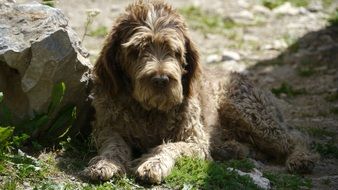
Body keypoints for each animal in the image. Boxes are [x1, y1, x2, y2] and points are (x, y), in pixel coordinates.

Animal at [83, 0, 318, 184]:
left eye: (174, 51)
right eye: (136, 50)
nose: (161, 80)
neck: (149, 110)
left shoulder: (195, 141)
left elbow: (169, 147)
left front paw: (153, 164)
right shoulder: (106, 129)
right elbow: (113, 145)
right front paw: (105, 163)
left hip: (247, 112)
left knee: (296, 136)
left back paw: (301, 157)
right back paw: (232, 148)